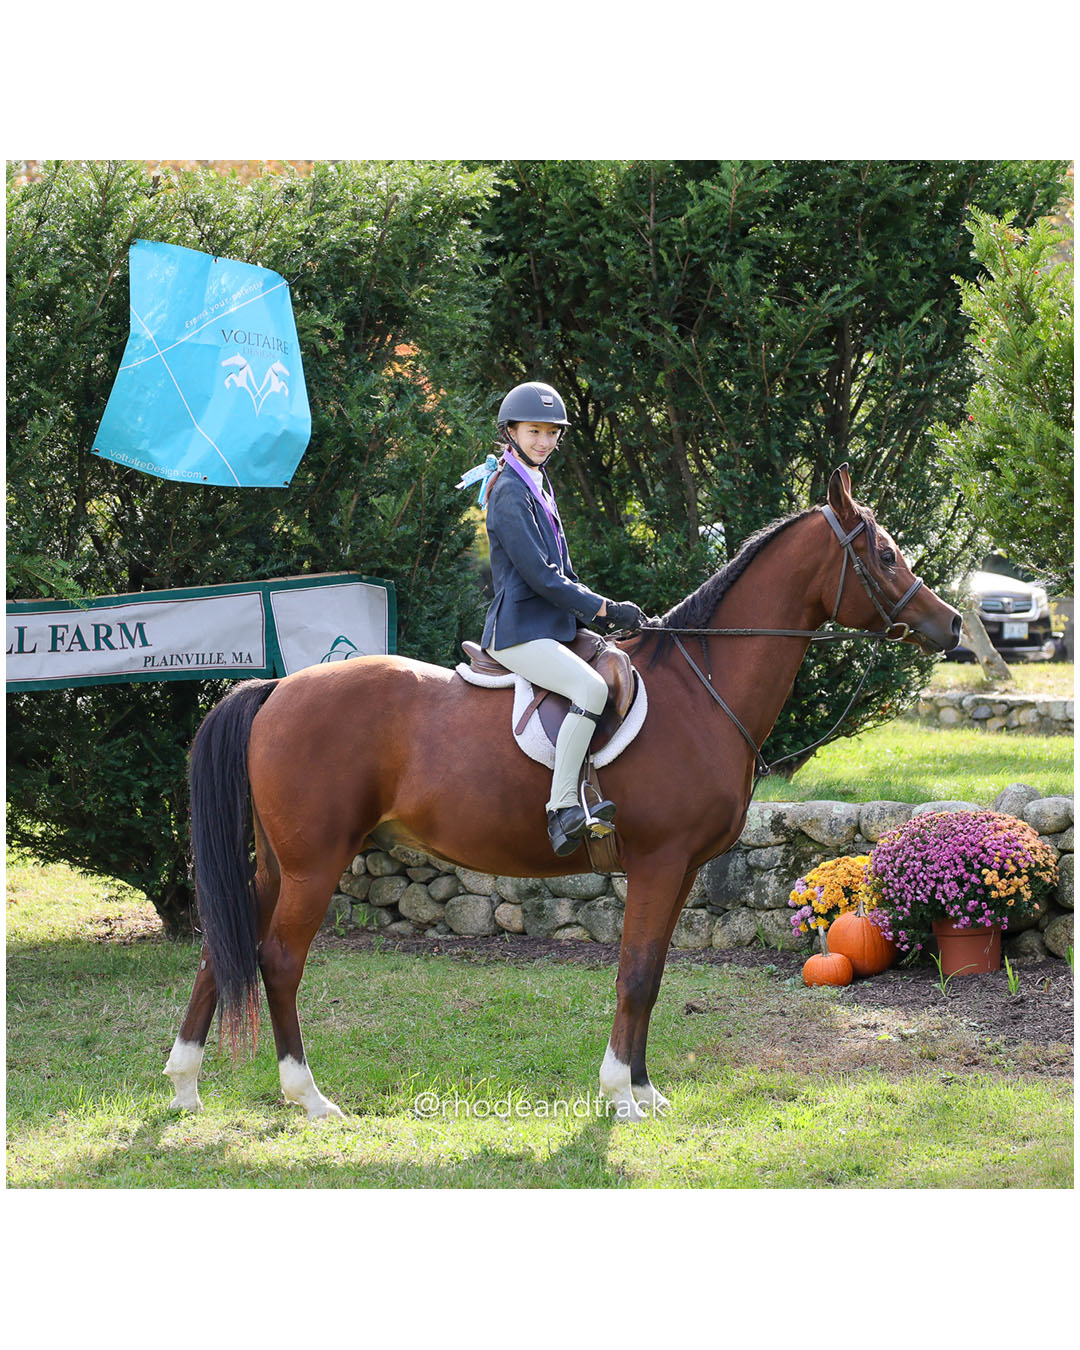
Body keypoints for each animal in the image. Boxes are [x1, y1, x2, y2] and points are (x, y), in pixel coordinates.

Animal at [164, 466, 961, 1122]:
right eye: (885, 554)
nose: (951, 623)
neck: (699, 689)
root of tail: (276, 688)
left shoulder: (680, 870)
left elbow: (654, 974)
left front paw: (644, 1089)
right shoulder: (661, 862)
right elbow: (635, 975)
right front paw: (620, 1096)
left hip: (277, 864)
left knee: (222, 950)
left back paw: (184, 1087)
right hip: (314, 864)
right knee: (277, 958)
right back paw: (308, 1097)